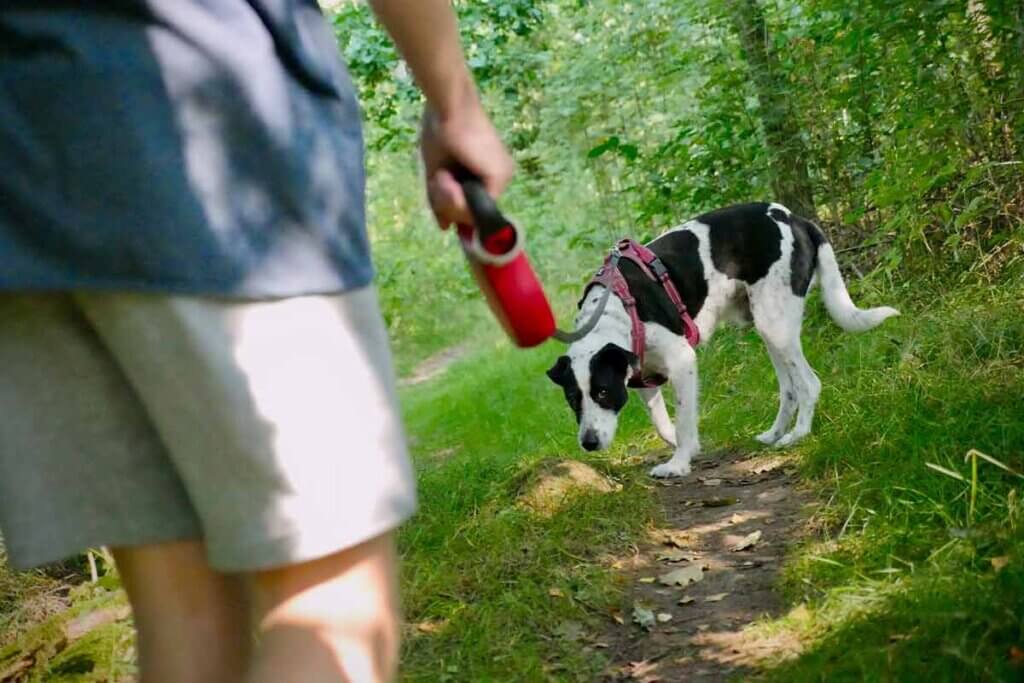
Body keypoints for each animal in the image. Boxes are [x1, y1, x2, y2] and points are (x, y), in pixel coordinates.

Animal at [544, 202, 897, 479]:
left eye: (603, 392)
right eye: (573, 399)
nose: (588, 443)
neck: (618, 308)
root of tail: (795, 218)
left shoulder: (682, 361)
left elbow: (684, 420)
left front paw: (679, 464)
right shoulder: (642, 376)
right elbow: (663, 424)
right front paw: (684, 448)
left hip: (775, 324)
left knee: (809, 384)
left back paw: (796, 436)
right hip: (768, 327)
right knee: (790, 388)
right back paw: (774, 434)